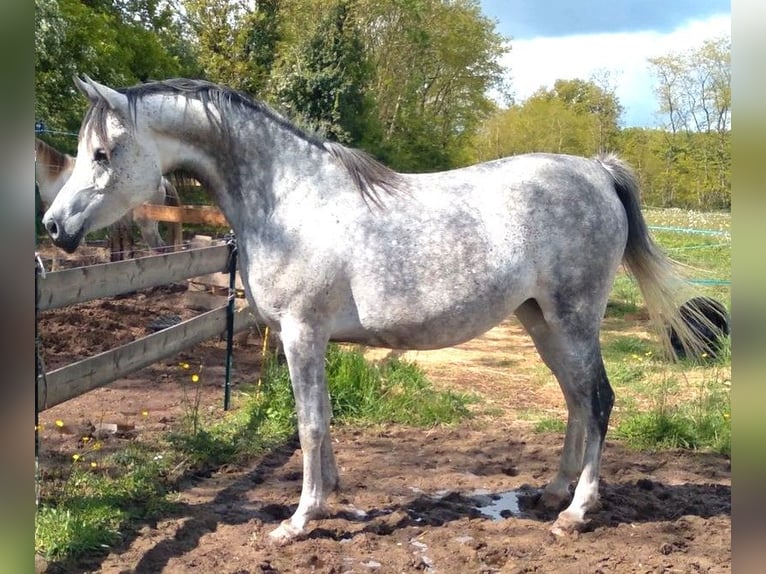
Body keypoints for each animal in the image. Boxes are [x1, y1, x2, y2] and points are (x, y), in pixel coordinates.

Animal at [45, 76, 712, 544]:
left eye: (101, 154)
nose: (54, 227)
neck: (288, 201)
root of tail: (597, 172)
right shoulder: (307, 339)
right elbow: (320, 420)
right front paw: (330, 495)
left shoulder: (302, 334)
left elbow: (310, 423)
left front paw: (299, 521)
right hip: (541, 320)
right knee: (575, 400)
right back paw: (551, 493)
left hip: (573, 319)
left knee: (598, 400)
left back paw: (575, 513)